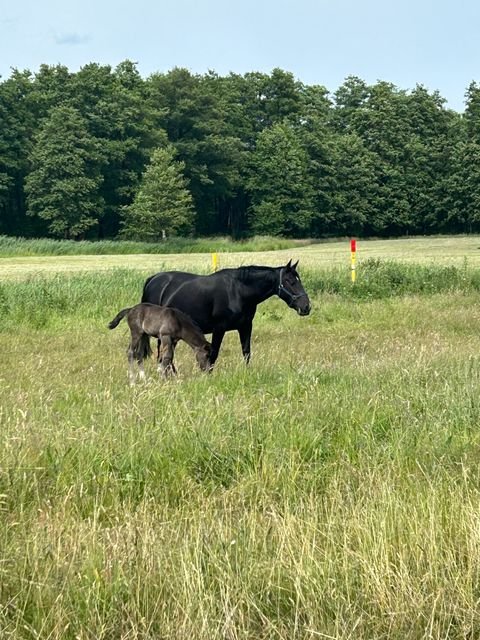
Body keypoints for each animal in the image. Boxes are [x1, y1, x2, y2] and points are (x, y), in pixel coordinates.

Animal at [141, 258, 310, 368]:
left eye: (298, 280)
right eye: (290, 281)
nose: (306, 307)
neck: (238, 291)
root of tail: (153, 279)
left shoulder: (245, 327)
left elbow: (246, 352)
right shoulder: (219, 328)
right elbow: (213, 355)